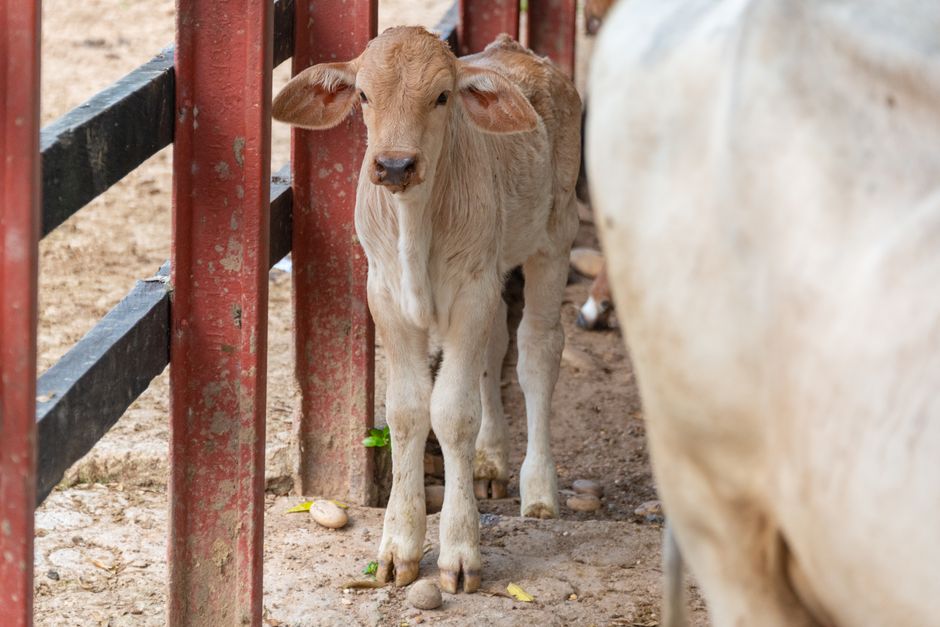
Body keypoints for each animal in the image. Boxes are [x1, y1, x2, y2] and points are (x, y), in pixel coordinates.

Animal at [273, 27, 581, 593]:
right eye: (364, 95)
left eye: (441, 97)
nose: (395, 165)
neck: (415, 227)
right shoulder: (386, 296)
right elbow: (407, 410)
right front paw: (398, 548)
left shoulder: (472, 291)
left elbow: (453, 412)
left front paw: (459, 552)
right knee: (495, 349)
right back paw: (489, 462)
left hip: (555, 235)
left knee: (537, 351)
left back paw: (540, 490)